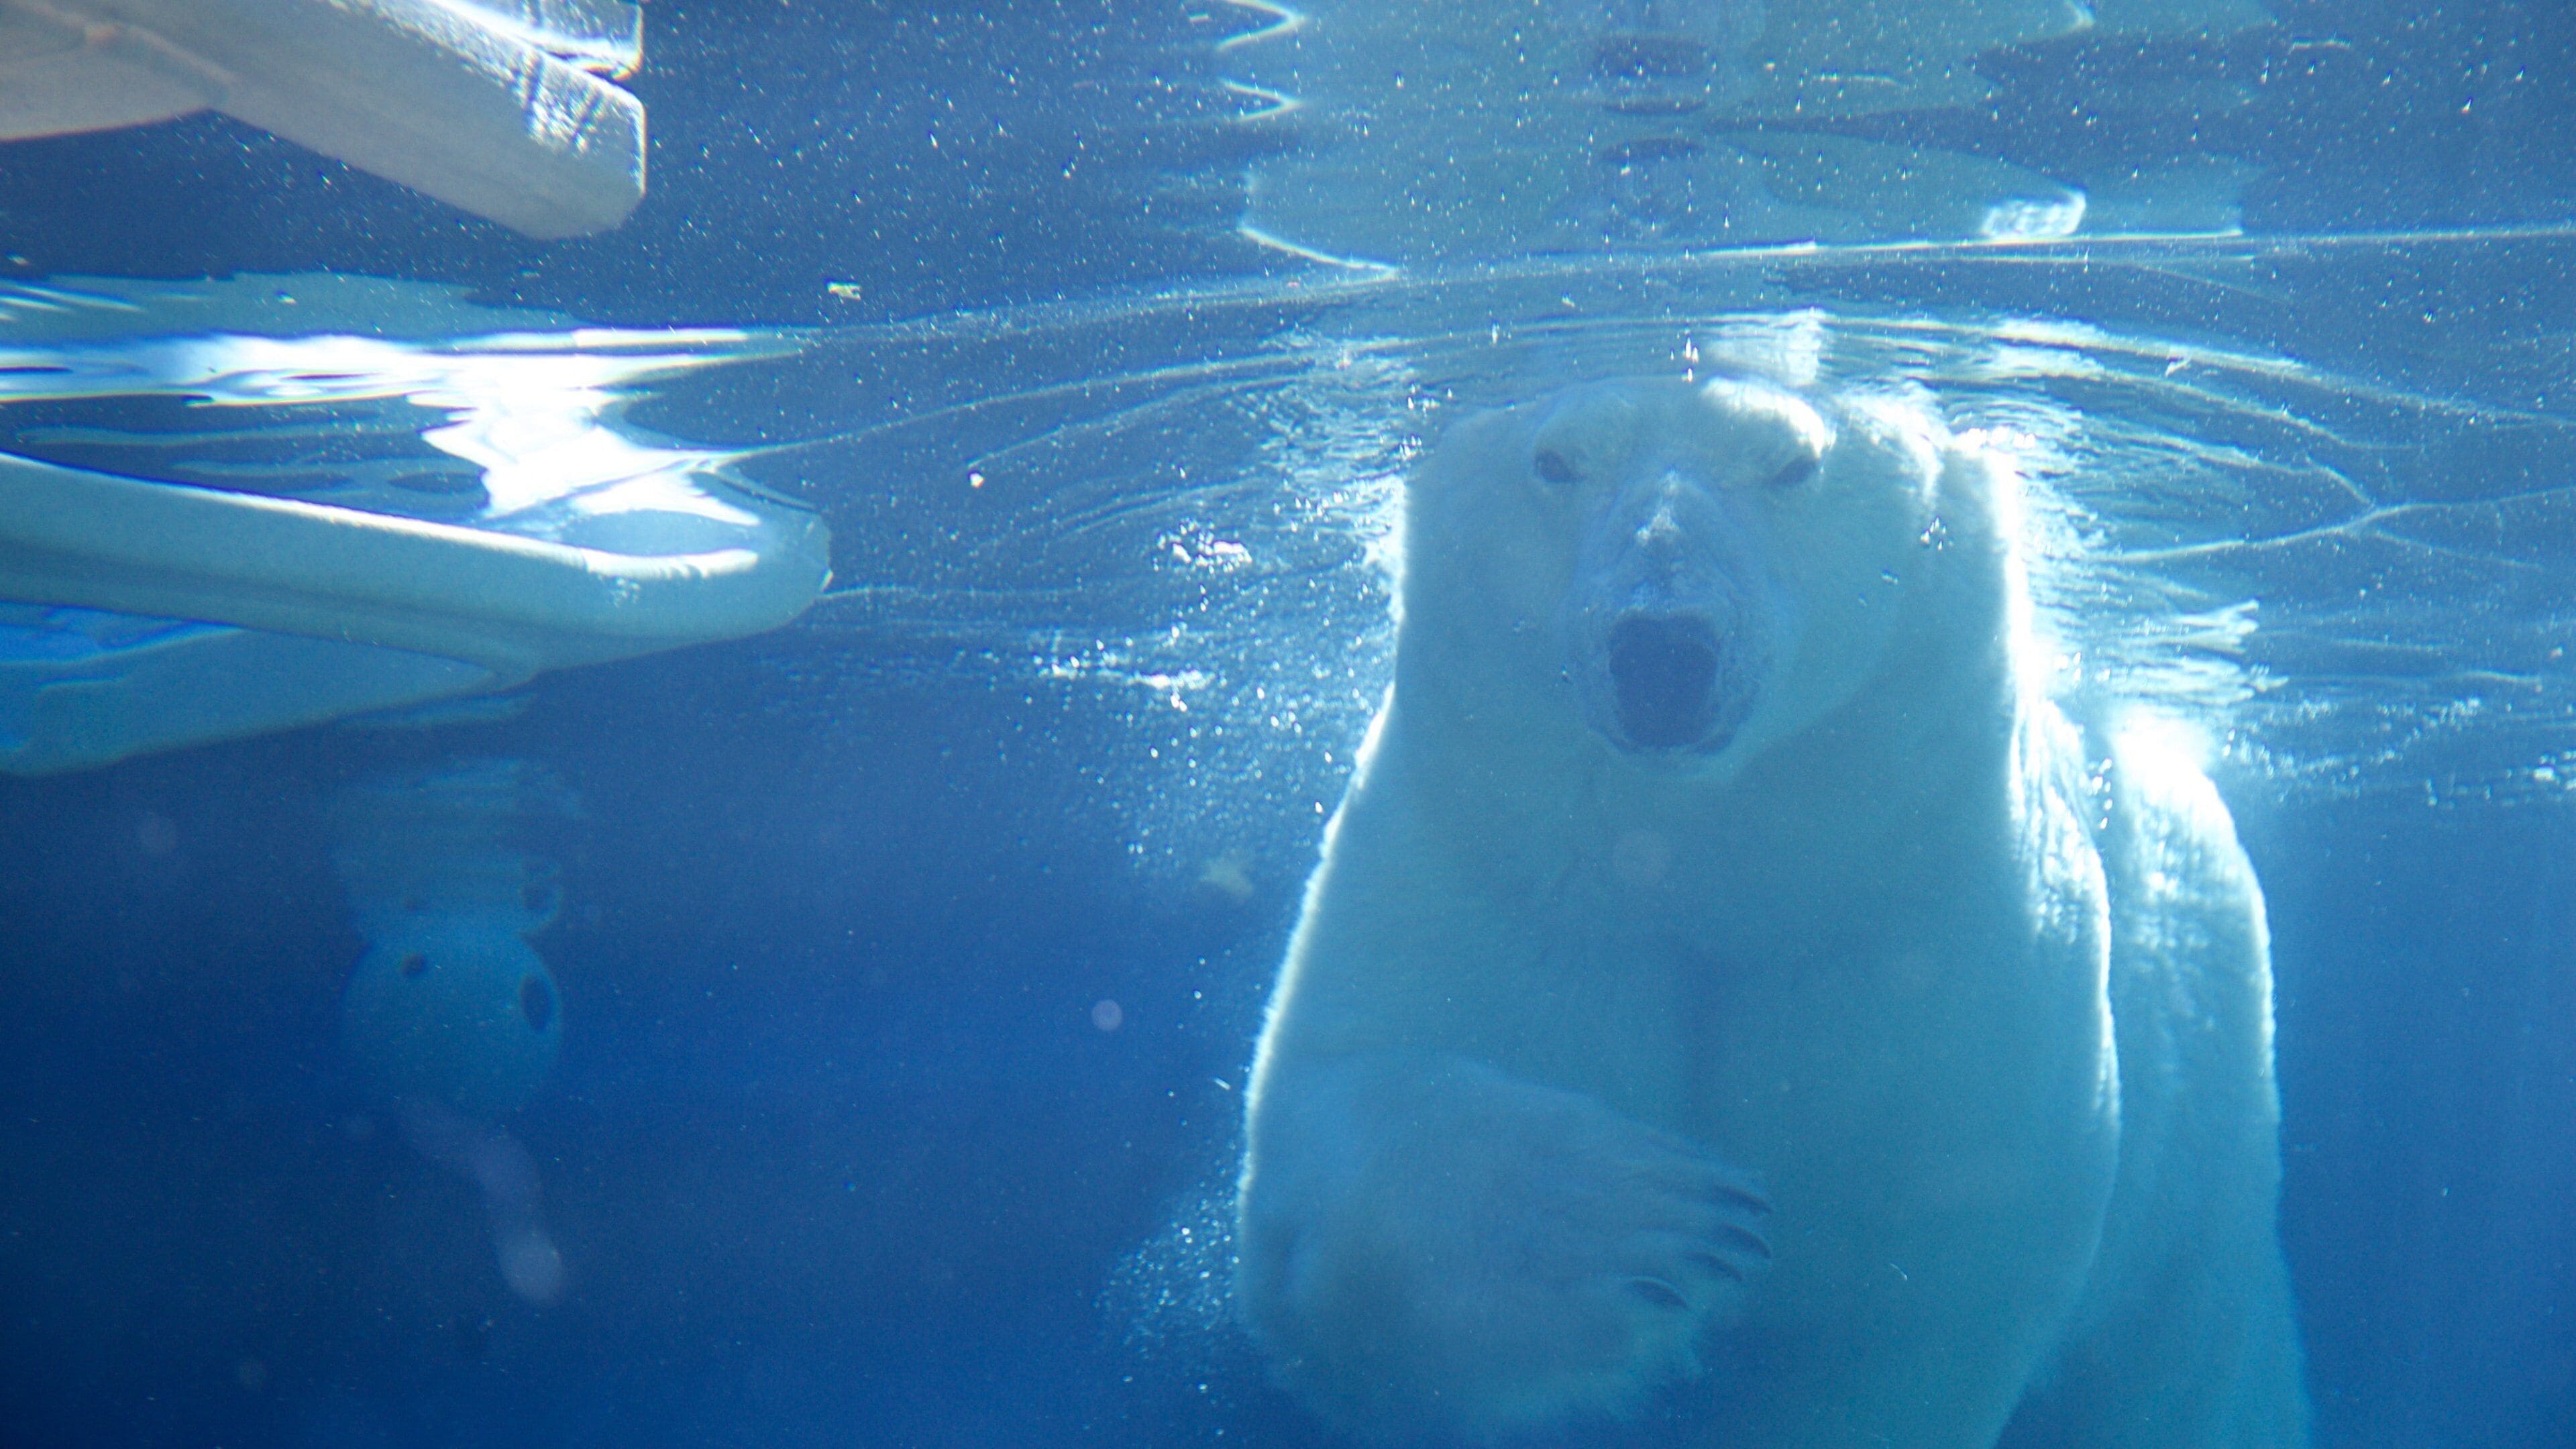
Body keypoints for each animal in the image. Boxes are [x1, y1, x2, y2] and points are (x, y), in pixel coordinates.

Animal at [1234, 375, 2307, 1448]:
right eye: (1555, 460)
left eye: (1793, 461)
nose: (1662, 652)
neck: (1713, 865)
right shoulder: (1478, 861)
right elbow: (1329, 1135)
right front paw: (1645, 1222)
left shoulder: (1928, 937)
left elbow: (1905, 1304)